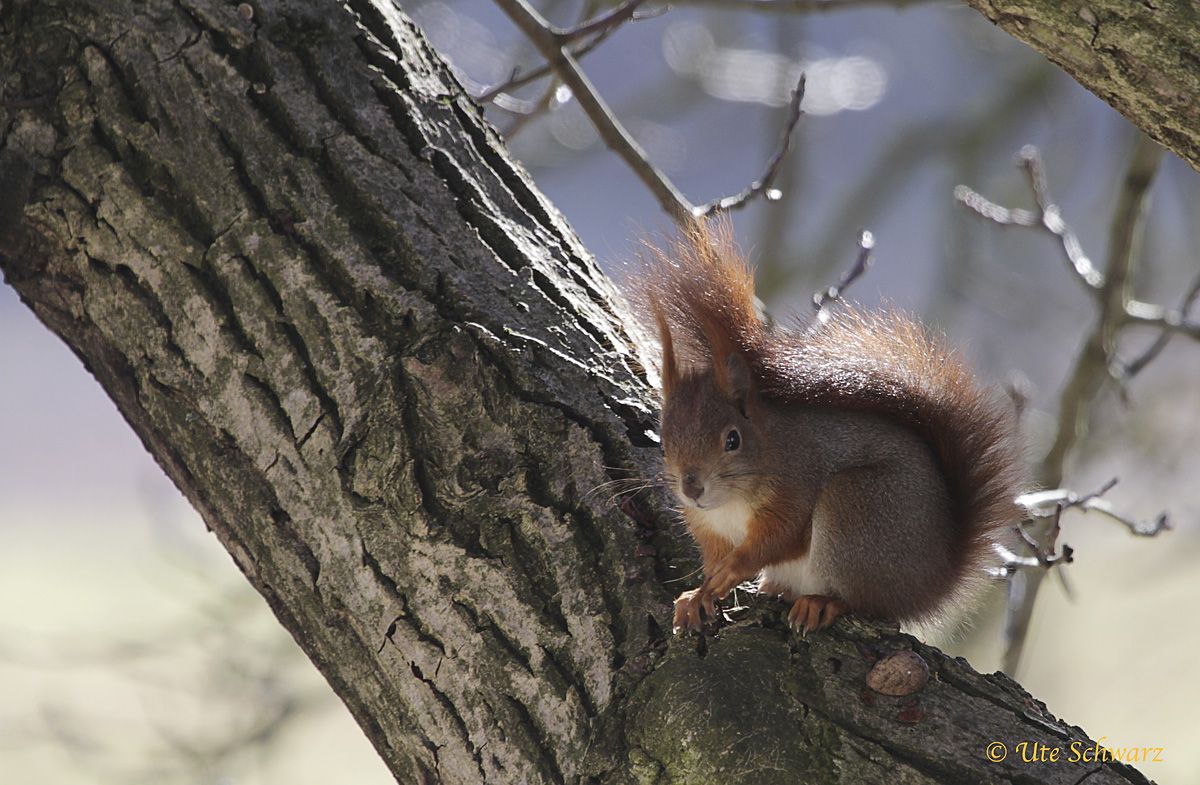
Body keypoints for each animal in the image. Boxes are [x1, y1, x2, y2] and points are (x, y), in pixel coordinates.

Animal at [633, 219, 1027, 633]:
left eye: (732, 440)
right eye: (664, 444)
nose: (691, 488)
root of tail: (930, 584)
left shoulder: (795, 485)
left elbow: (778, 539)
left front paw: (734, 569)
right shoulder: (707, 526)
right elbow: (711, 562)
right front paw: (698, 595)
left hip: (855, 508)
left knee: (866, 601)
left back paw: (822, 603)